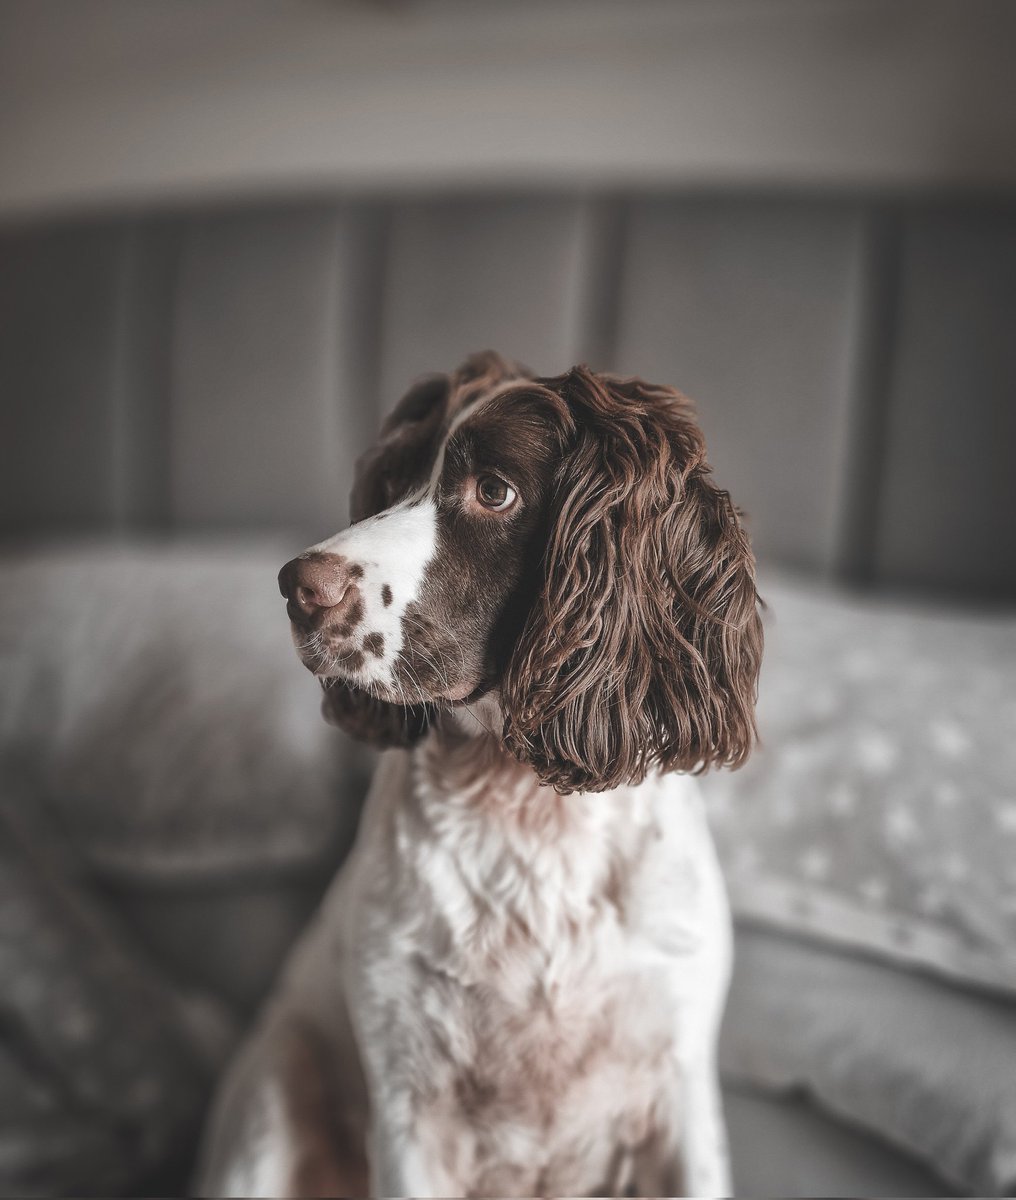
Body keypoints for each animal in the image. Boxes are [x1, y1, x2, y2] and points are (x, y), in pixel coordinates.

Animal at [194, 350, 762, 1195]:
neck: (525, 802)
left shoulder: (679, 1092)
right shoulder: (409, 1103)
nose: (297, 587)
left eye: (494, 491)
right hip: (268, 1109)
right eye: (394, 477)